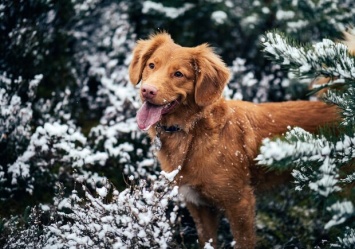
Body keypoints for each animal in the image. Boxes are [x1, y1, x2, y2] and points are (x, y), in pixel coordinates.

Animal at [129, 32, 340, 247]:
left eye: (178, 74)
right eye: (151, 65)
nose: (147, 90)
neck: (192, 134)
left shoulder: (240, 202)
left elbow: (244, 242)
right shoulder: (199, 205)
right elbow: (208, 242)